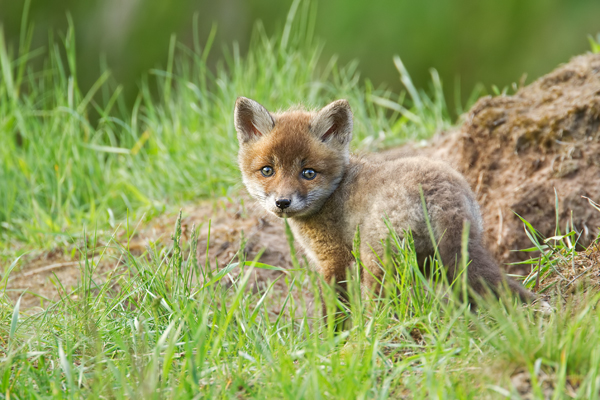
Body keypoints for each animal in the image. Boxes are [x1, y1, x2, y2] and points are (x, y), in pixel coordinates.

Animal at [232, 96, 532, 306]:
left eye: (308, 173)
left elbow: (336, 312)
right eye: (267, 170)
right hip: (442, 259)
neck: (335, 191)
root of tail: (439, 190)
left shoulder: (335, 261)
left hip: (377, 261)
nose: (282, 202)